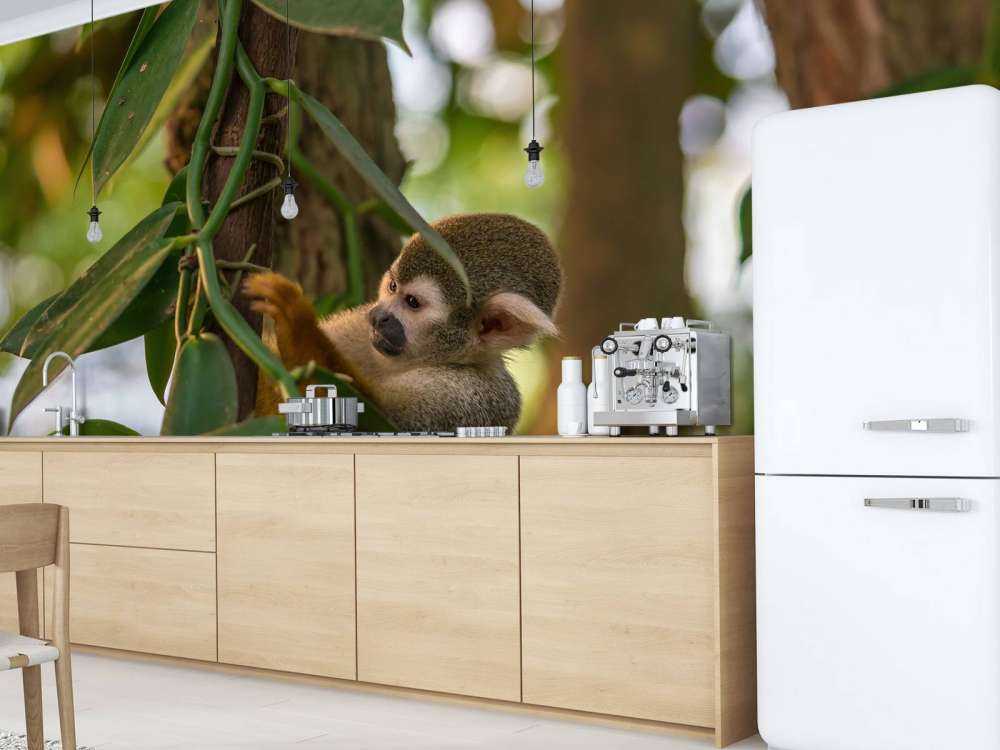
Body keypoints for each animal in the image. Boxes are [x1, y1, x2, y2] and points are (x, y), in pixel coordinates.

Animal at [243, 213, 562, 432]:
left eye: (413, 303)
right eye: (393, 286)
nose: (378, 316)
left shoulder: (475, 396)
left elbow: (374, 420)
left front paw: (295, 321)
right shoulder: (360, 328)